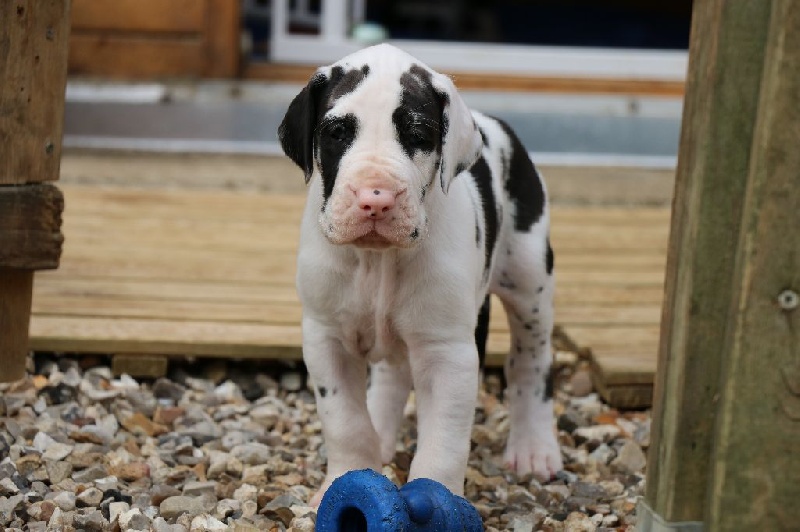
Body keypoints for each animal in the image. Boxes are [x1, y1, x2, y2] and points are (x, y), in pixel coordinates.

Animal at [278, 44, 563, 505]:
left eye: (418, 135)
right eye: (337, 133)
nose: (375, 199)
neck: (378, 261)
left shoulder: (449, 353)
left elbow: (444, 441)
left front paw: (437, 496)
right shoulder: (325, 338)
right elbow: (345, 422)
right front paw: (345, 479)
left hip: (530, 282)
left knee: (530, 362)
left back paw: (534, 448)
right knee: (391, 378)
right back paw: (382, 433)